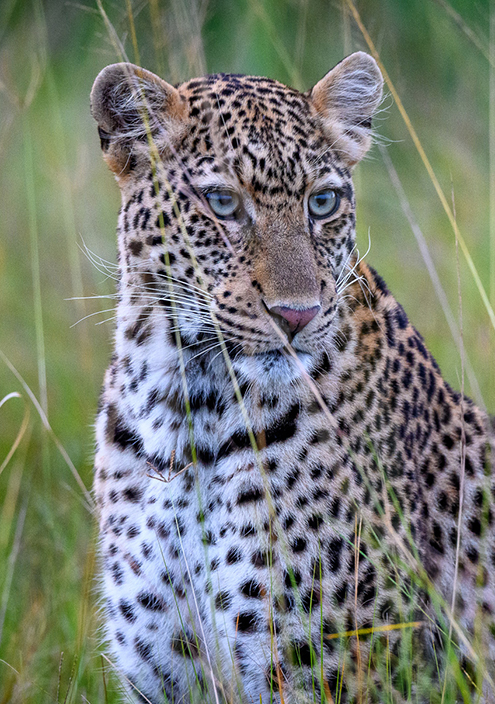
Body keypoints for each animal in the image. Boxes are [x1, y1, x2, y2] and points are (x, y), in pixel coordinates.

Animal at [90, 52, 495, 704]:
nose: (297, 313)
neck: (189, 406)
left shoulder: (331, 672)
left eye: (323, 202)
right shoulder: (163, 673)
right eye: (222, 203)